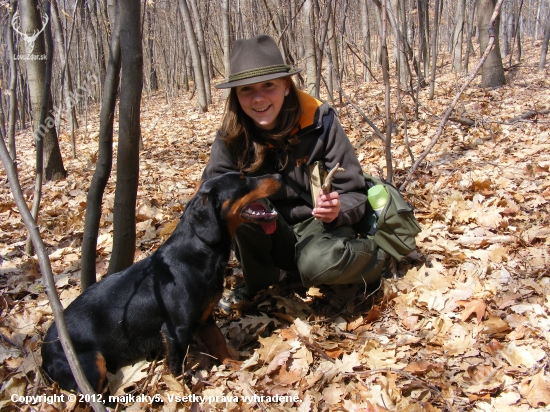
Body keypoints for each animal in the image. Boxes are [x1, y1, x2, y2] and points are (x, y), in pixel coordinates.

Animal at [42, 172, 282, 392]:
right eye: (242, 180)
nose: (279, 174)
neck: (197, 253)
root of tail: (44, 354)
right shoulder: (176, 331)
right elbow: (177, 367)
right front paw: (182, 390)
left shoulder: (205, 318)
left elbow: (219, 342)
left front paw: (232, 364)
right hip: (92, 364)